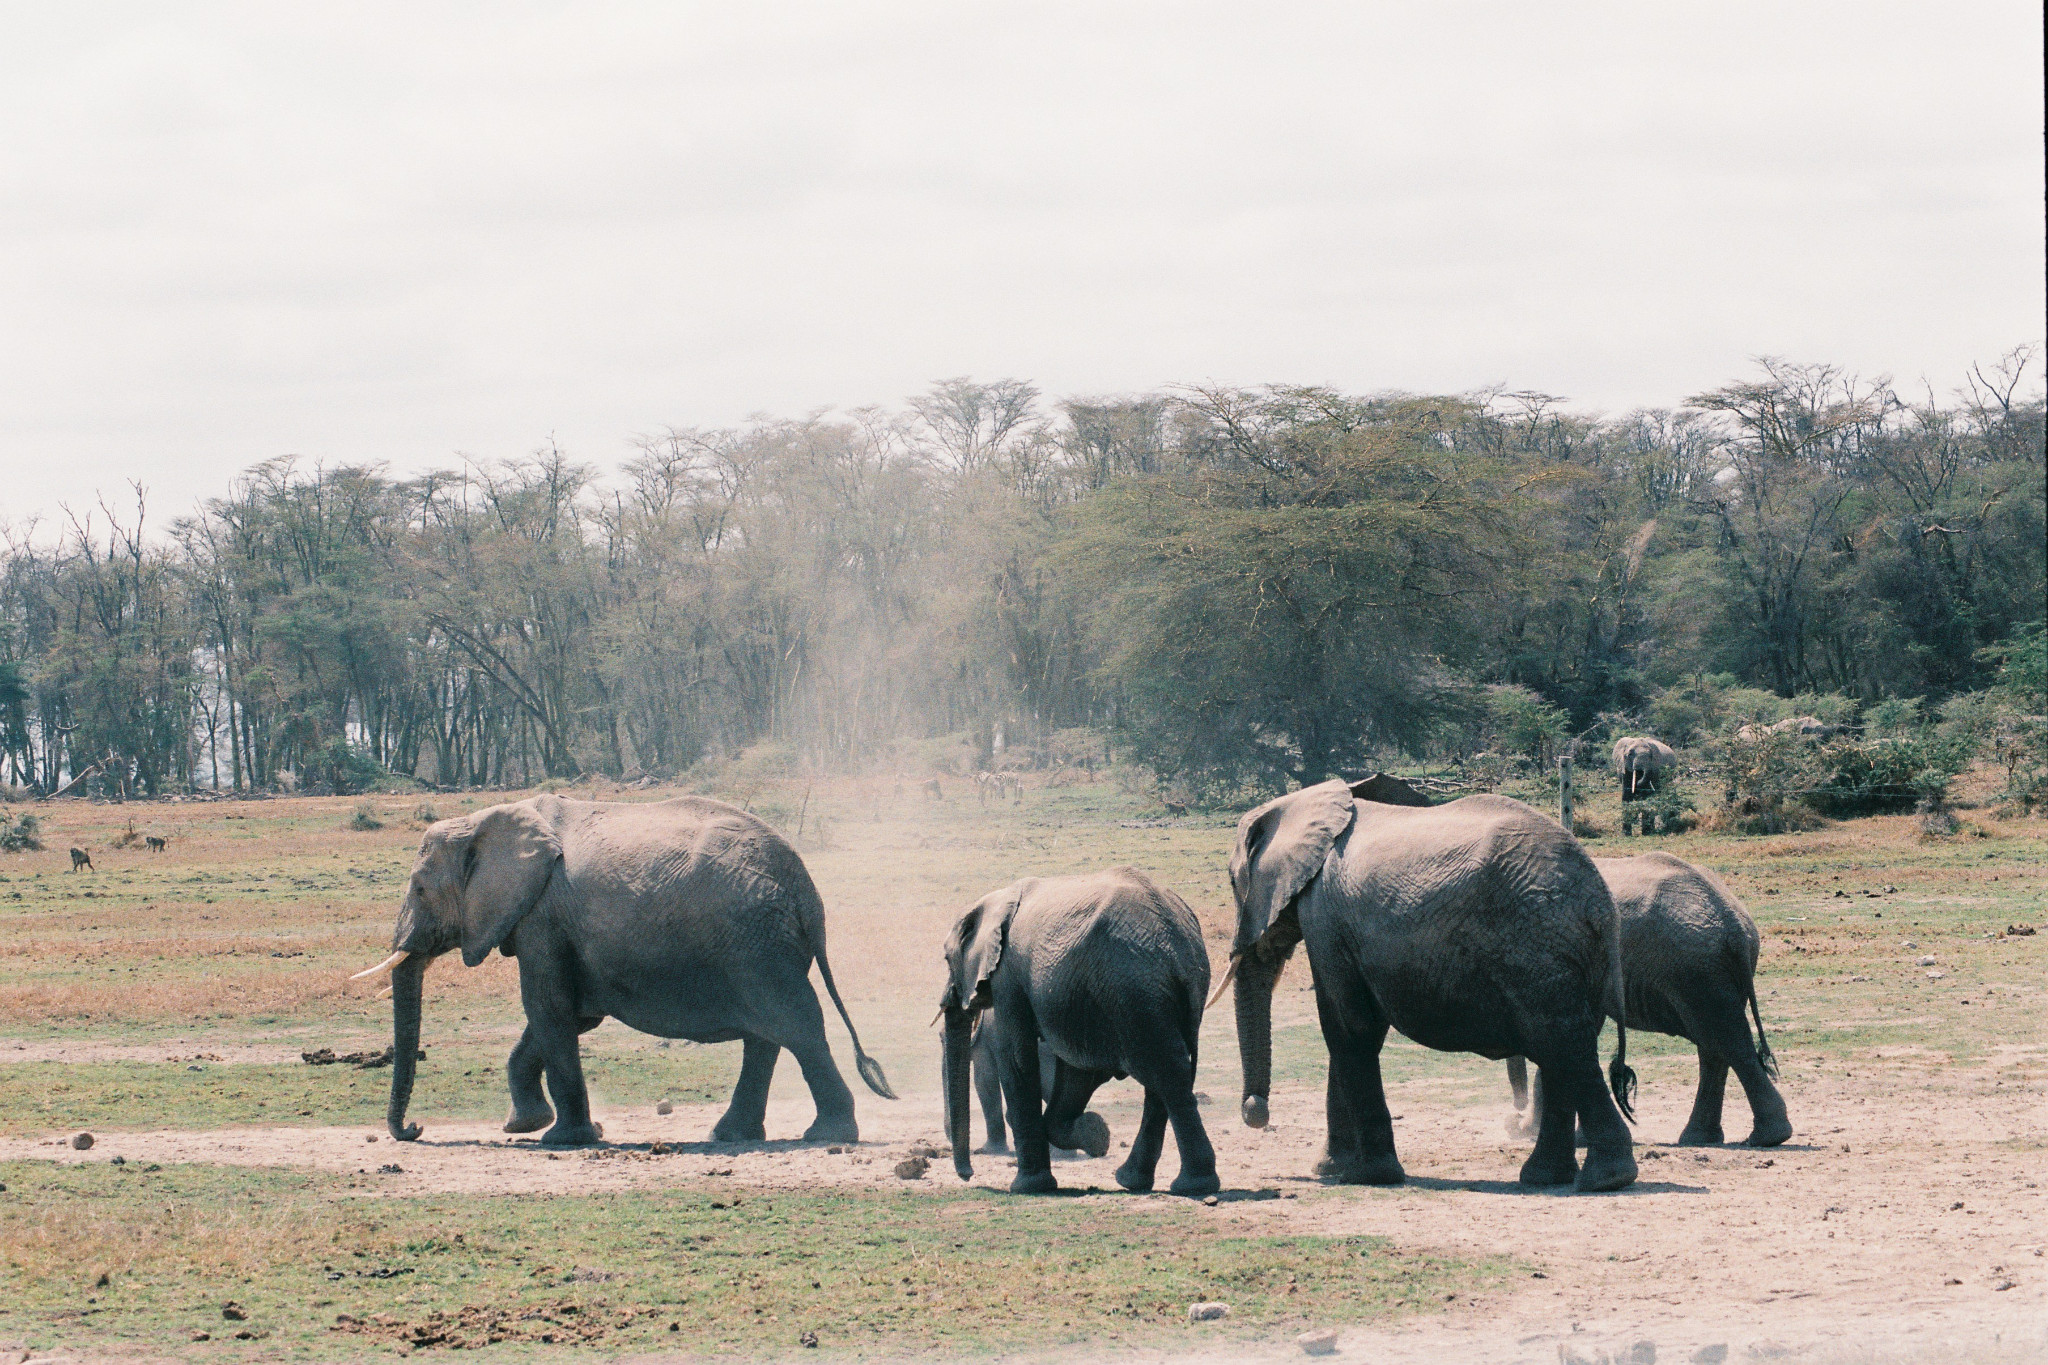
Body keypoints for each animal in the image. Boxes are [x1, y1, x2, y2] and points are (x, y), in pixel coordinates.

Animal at [348, 794, 892, 1146]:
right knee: (768, 1035)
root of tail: (806, 890)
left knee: (795, 1026)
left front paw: (563, 1140)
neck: (481, 820)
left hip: (756, 943)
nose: (414, 1130)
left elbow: (548, 1010)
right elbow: (570, 1017)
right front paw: (523, 1128)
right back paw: (730, 1136)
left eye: (419, 889)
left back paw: (826, 1135)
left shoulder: (541, 917)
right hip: (760, 943)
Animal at [937, 863, 1212, 1195]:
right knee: (1167, 1079)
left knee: (1166, 1076)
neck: (997, 899)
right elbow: (1074, 1074)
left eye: (947, 958)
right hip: (1171, 995)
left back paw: (1191, 1186)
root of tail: (1177, 943)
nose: (969, 1175)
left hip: (1133, 992)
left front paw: (1029, 1187)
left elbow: (1015, 1056)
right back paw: (1135, 1180)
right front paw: (1094, 1134)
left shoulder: (1009, 976)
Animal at [1220, 777, 1638, 1195]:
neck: (1311, 802)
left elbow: (1348, 1027)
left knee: (1563, 1045)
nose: (1256, 1111)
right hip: (1570, 955)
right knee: (1560, 1050)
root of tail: (1599, 902)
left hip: (1535, 946)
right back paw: (1545, 1177)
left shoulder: (1324, 916)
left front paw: (1367, 1177)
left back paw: (1606, 1178)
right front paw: (1329, 1168)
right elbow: (1347, 1029)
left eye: (1232, 880)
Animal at [1507, 855, 1794, 1154]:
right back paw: (1703, 1137)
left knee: (1726, 1041)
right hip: (1707, 973)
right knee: (1714, 1043)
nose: (1515, 1117)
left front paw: (1534, 1131)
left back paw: (1766, 1138)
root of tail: (1734, 925)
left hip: (1694, 970)